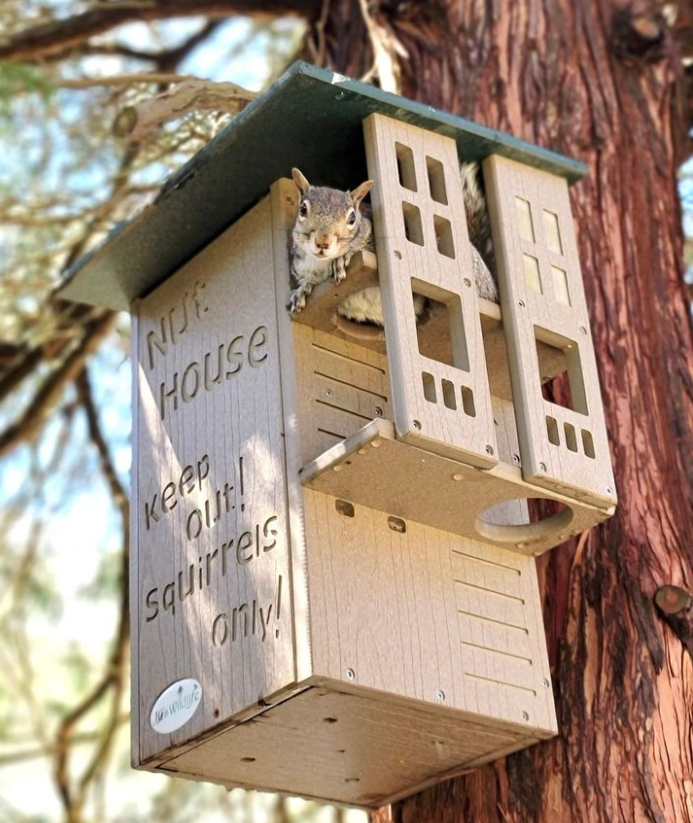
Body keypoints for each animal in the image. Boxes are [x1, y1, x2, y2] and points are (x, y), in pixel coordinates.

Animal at [288, 164, 498, 326]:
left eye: (352, 218)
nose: (323, 242)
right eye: (303, 209)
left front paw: (343, 258)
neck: (320, 263)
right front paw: (302, 290)